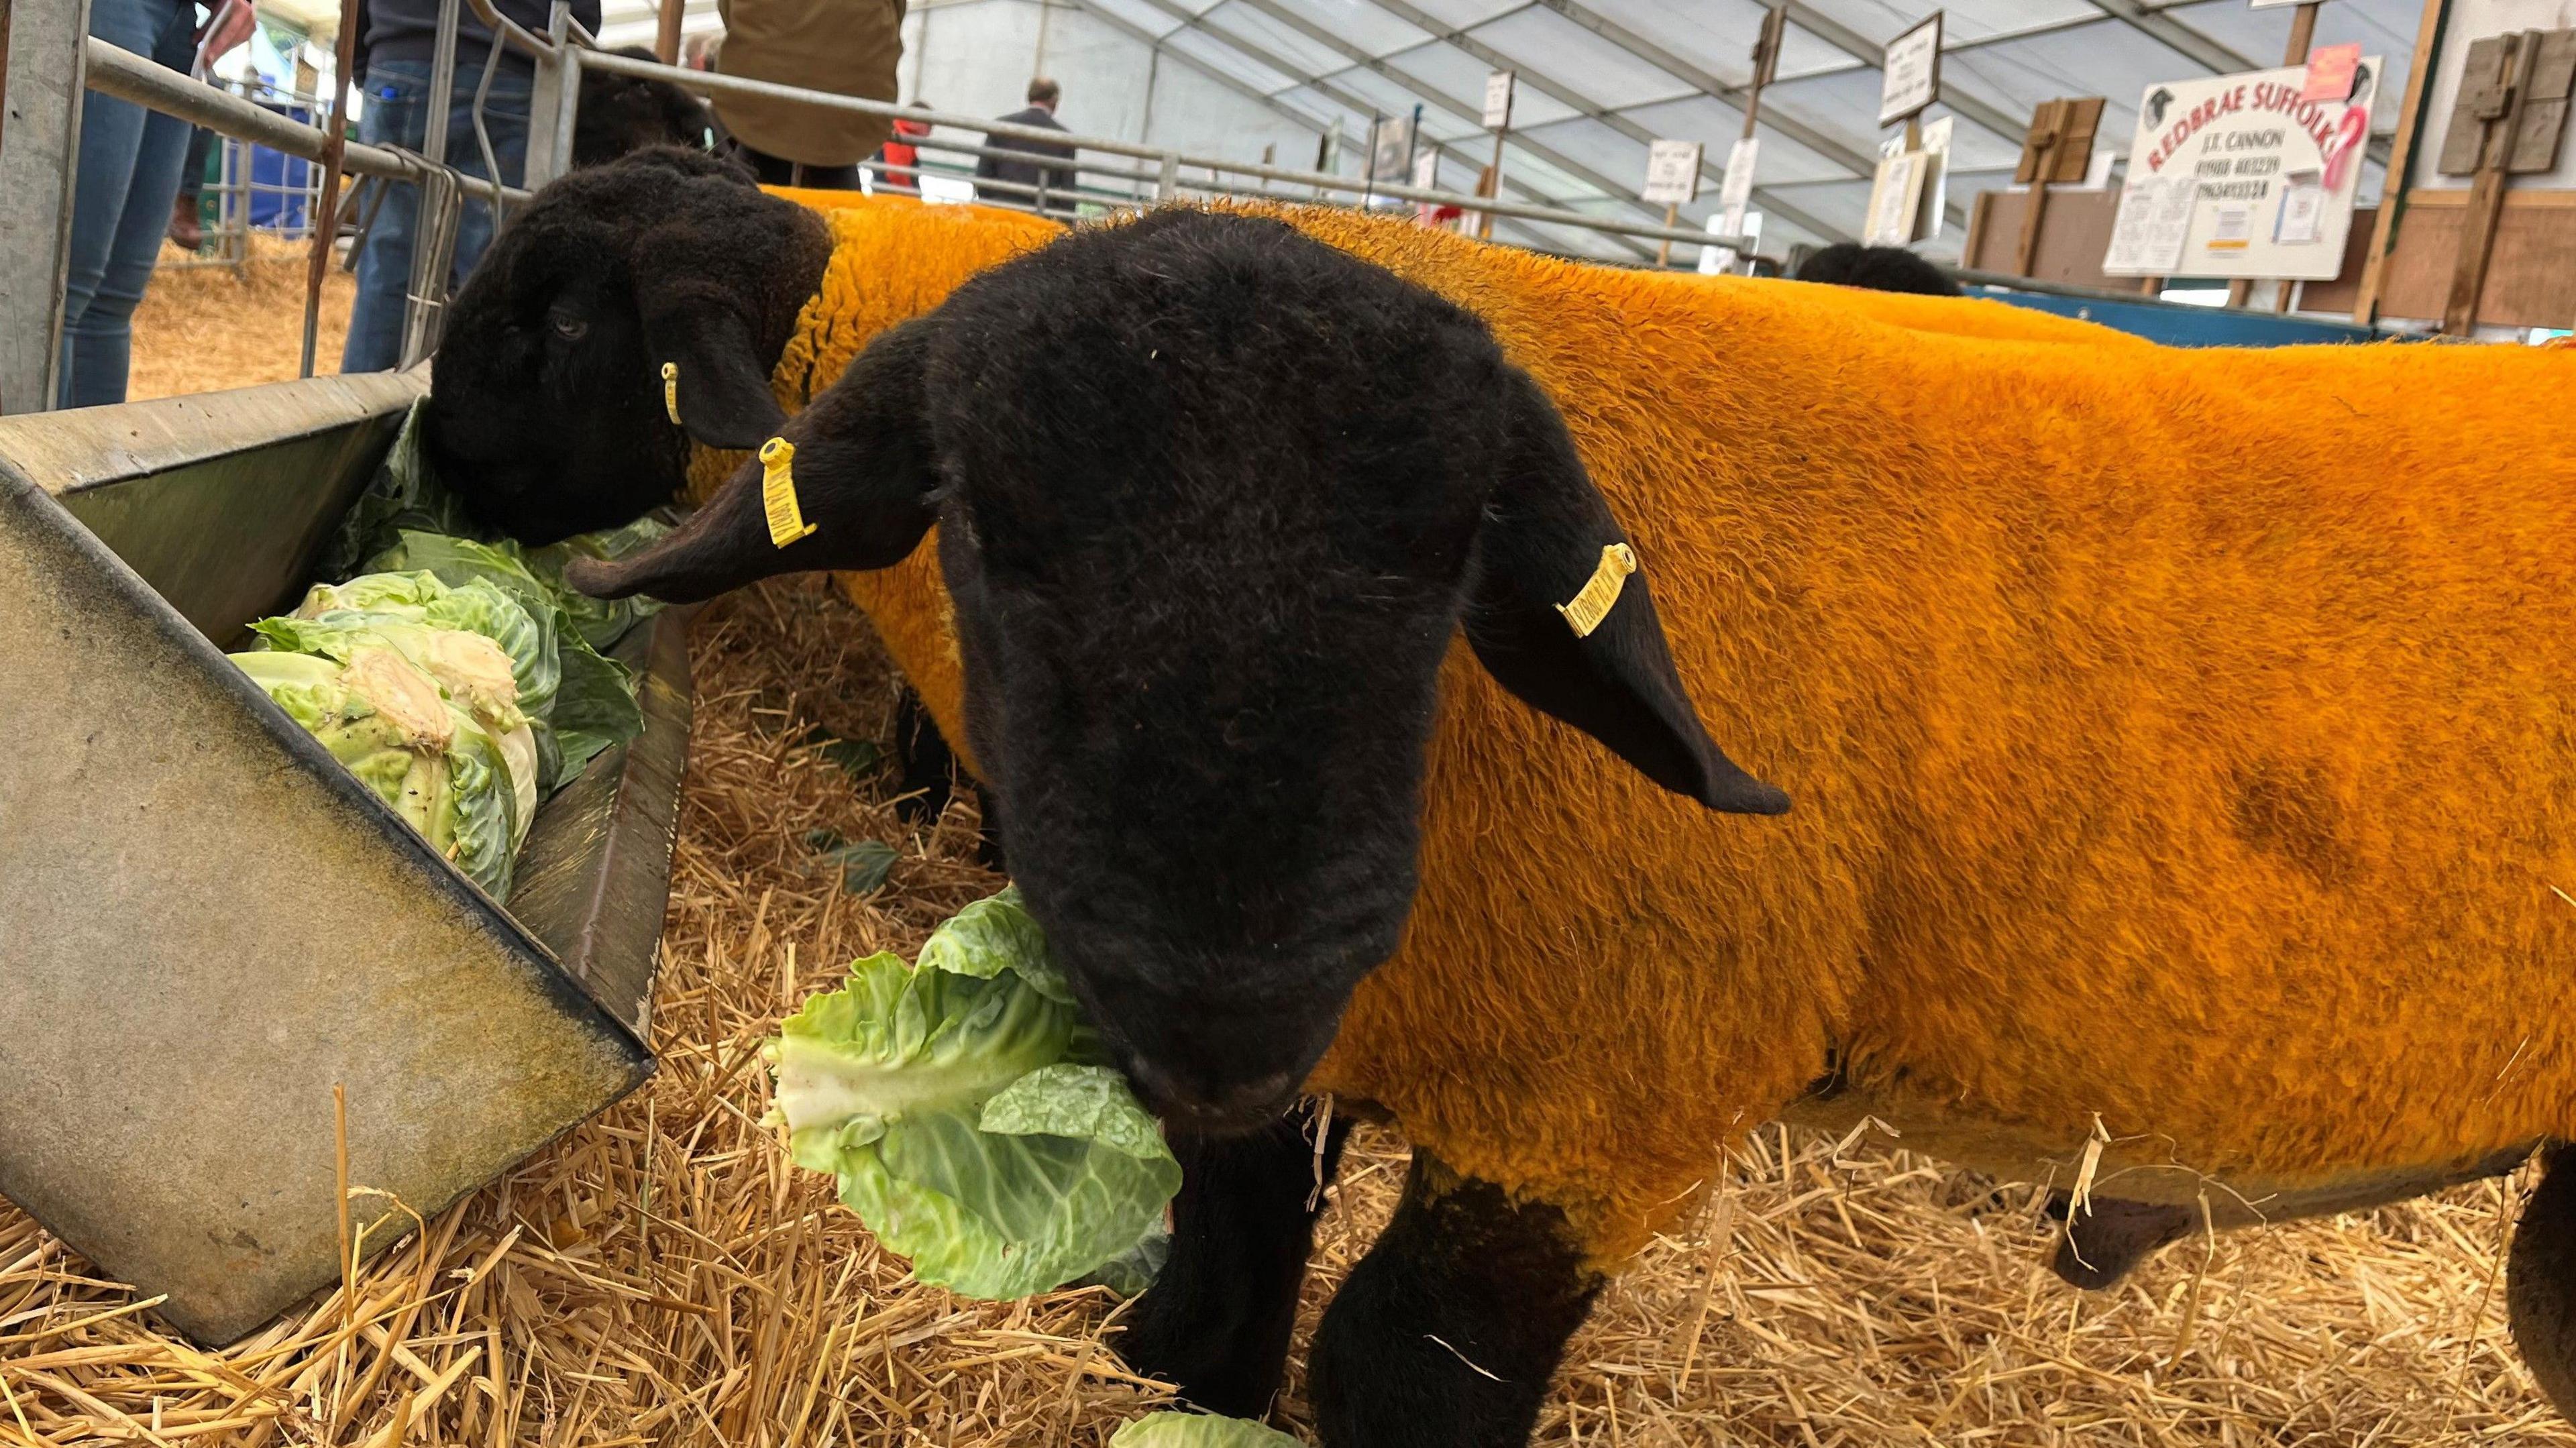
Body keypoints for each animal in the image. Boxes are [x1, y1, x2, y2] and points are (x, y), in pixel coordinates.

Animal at [569, 206, 2576, 1443]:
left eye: (1453, 561)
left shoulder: (1605, 1087)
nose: (1224, 1004)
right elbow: (1219, 1268)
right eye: (986, 527)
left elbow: (1399, 1370)